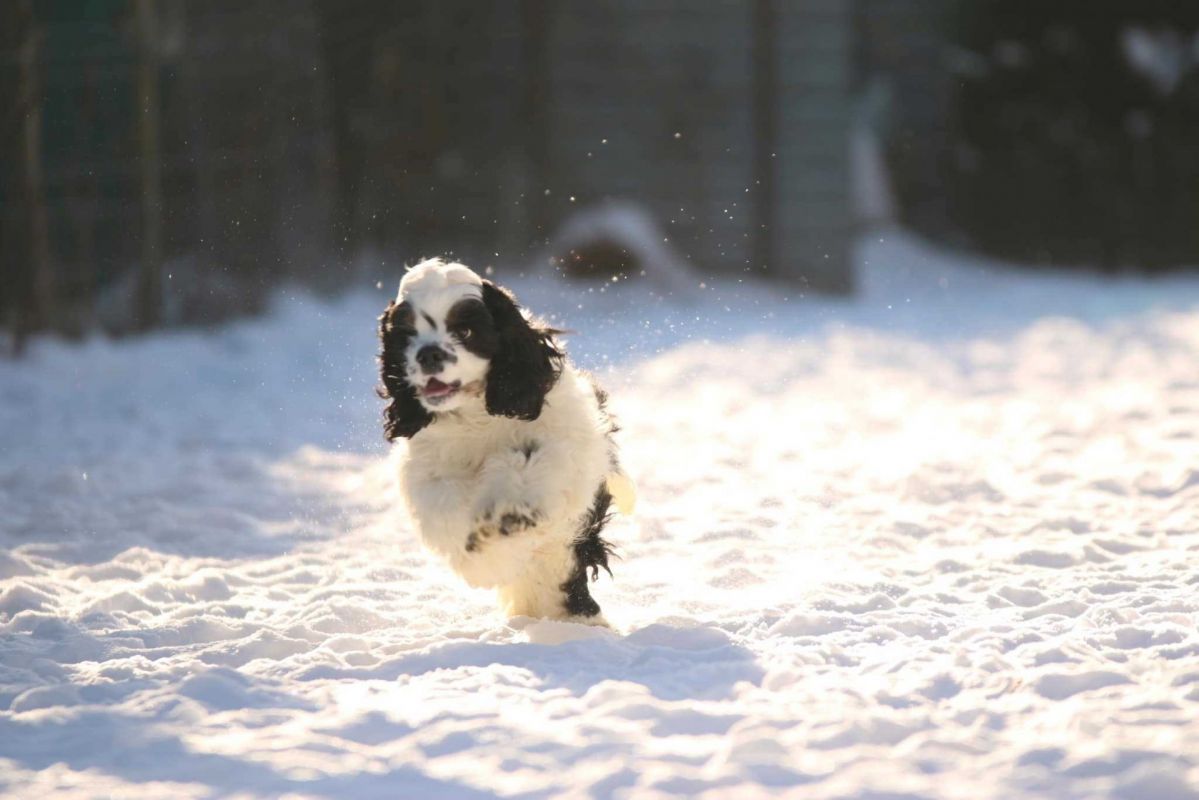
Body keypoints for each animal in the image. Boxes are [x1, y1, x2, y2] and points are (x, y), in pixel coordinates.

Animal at [378, 259, 633, 625]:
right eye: (407, 334)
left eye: (465, 332)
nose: (428, 355)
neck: (477, 417)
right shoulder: (429, 469)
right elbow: (445, 505)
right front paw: (485, 553)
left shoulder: (564, 446)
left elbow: (525, 464)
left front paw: (505, 516)